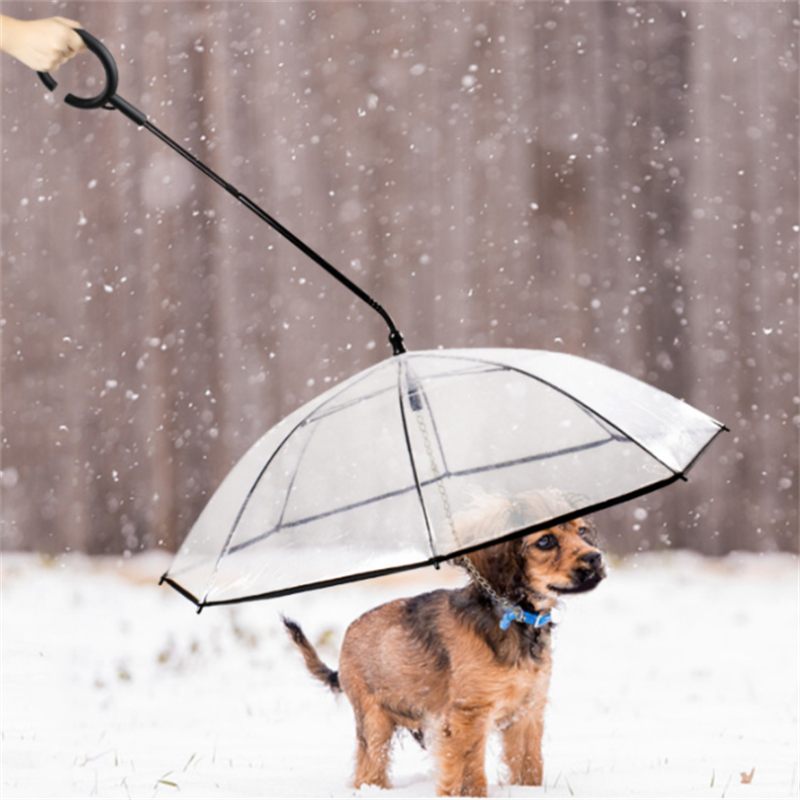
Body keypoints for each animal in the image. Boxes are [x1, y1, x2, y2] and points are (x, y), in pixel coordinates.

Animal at [284, 490, 604, 796]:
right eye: (546, 541)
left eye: (582, 531)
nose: (596, 558)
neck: (514, 617)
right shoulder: (469, 716)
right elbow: (472, 778)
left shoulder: (528, 712)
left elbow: (530, 769)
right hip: (374, 722)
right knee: (368, 772)